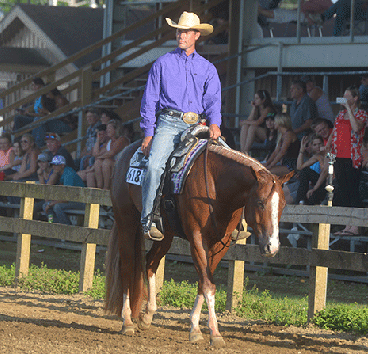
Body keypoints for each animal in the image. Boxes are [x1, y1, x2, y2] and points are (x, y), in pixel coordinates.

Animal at [105, 139, 292, 346]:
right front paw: (214, 333)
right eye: (260, 202)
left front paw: (195, 327)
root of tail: (124, 154)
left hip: (165, 235)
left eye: (283, 204)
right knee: (127, 267)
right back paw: (127, 321)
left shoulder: (221, 244)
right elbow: (208, 285)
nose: (271, 247)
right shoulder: (197, 239)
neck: (216, 186)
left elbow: (204, 283)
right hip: (126, 221)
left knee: (150, 262)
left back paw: (147, 316)